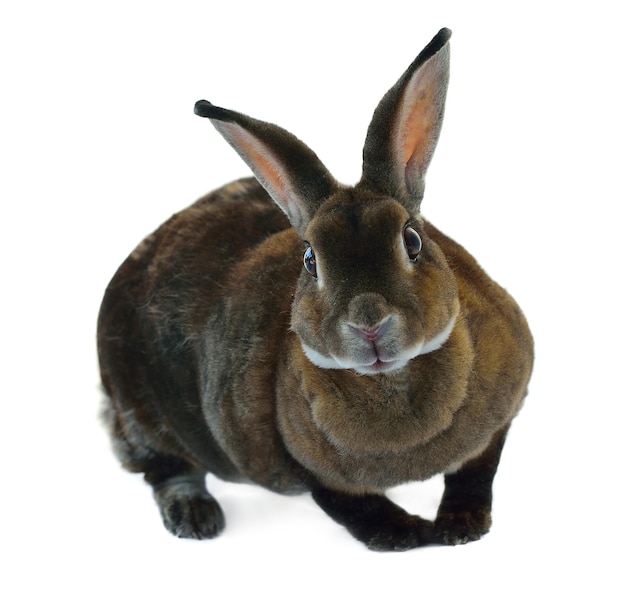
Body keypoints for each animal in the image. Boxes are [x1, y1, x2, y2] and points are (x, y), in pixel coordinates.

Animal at [97, 28, 532, 552]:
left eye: (411, 240)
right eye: (310, 260)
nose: (368, 322)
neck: (393, 381)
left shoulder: (502, 415)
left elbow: (476, 469)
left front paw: (460, 527)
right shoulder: (303, 466)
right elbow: (349, 504)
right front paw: (405, 535)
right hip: (137, 406)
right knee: (165, 468)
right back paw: (196, 518)